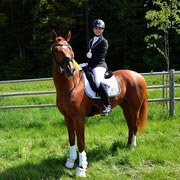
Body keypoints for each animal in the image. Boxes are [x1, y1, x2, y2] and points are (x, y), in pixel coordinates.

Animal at [51, 29, 148, 177]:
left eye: (70, 49)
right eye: (56, 50)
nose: (70, 70)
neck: (70, 85)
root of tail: (138, 75)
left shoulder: (78, 118)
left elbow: (81, 141)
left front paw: (81, 168)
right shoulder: (67, 117)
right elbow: (71, 139)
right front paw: (70, 162)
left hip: (134, 106)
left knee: (135, 124)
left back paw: (132, 146)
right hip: (125, 106)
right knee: (130, 125)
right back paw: (128, 144)